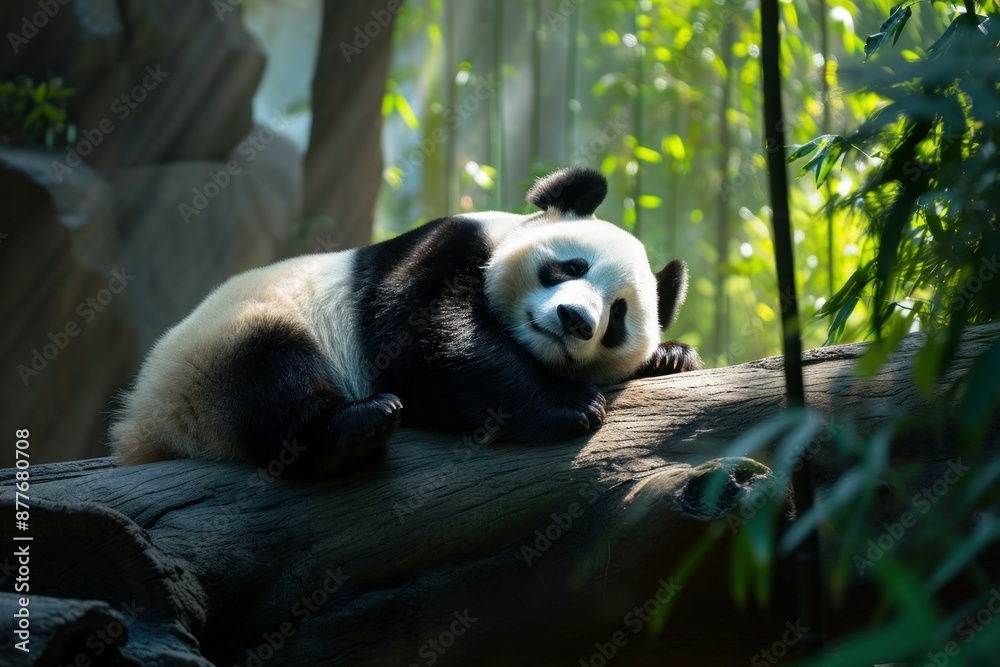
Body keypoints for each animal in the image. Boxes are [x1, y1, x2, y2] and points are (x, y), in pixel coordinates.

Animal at [110, 167, 702, 477]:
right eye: (572, 266)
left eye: (617, 315)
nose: (576, 319)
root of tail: (140, 426)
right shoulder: (446, 245)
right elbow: (428, 342)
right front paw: (570, 405)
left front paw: (670, 357)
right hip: (218, 349)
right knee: (271, 375)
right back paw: (355, 427)